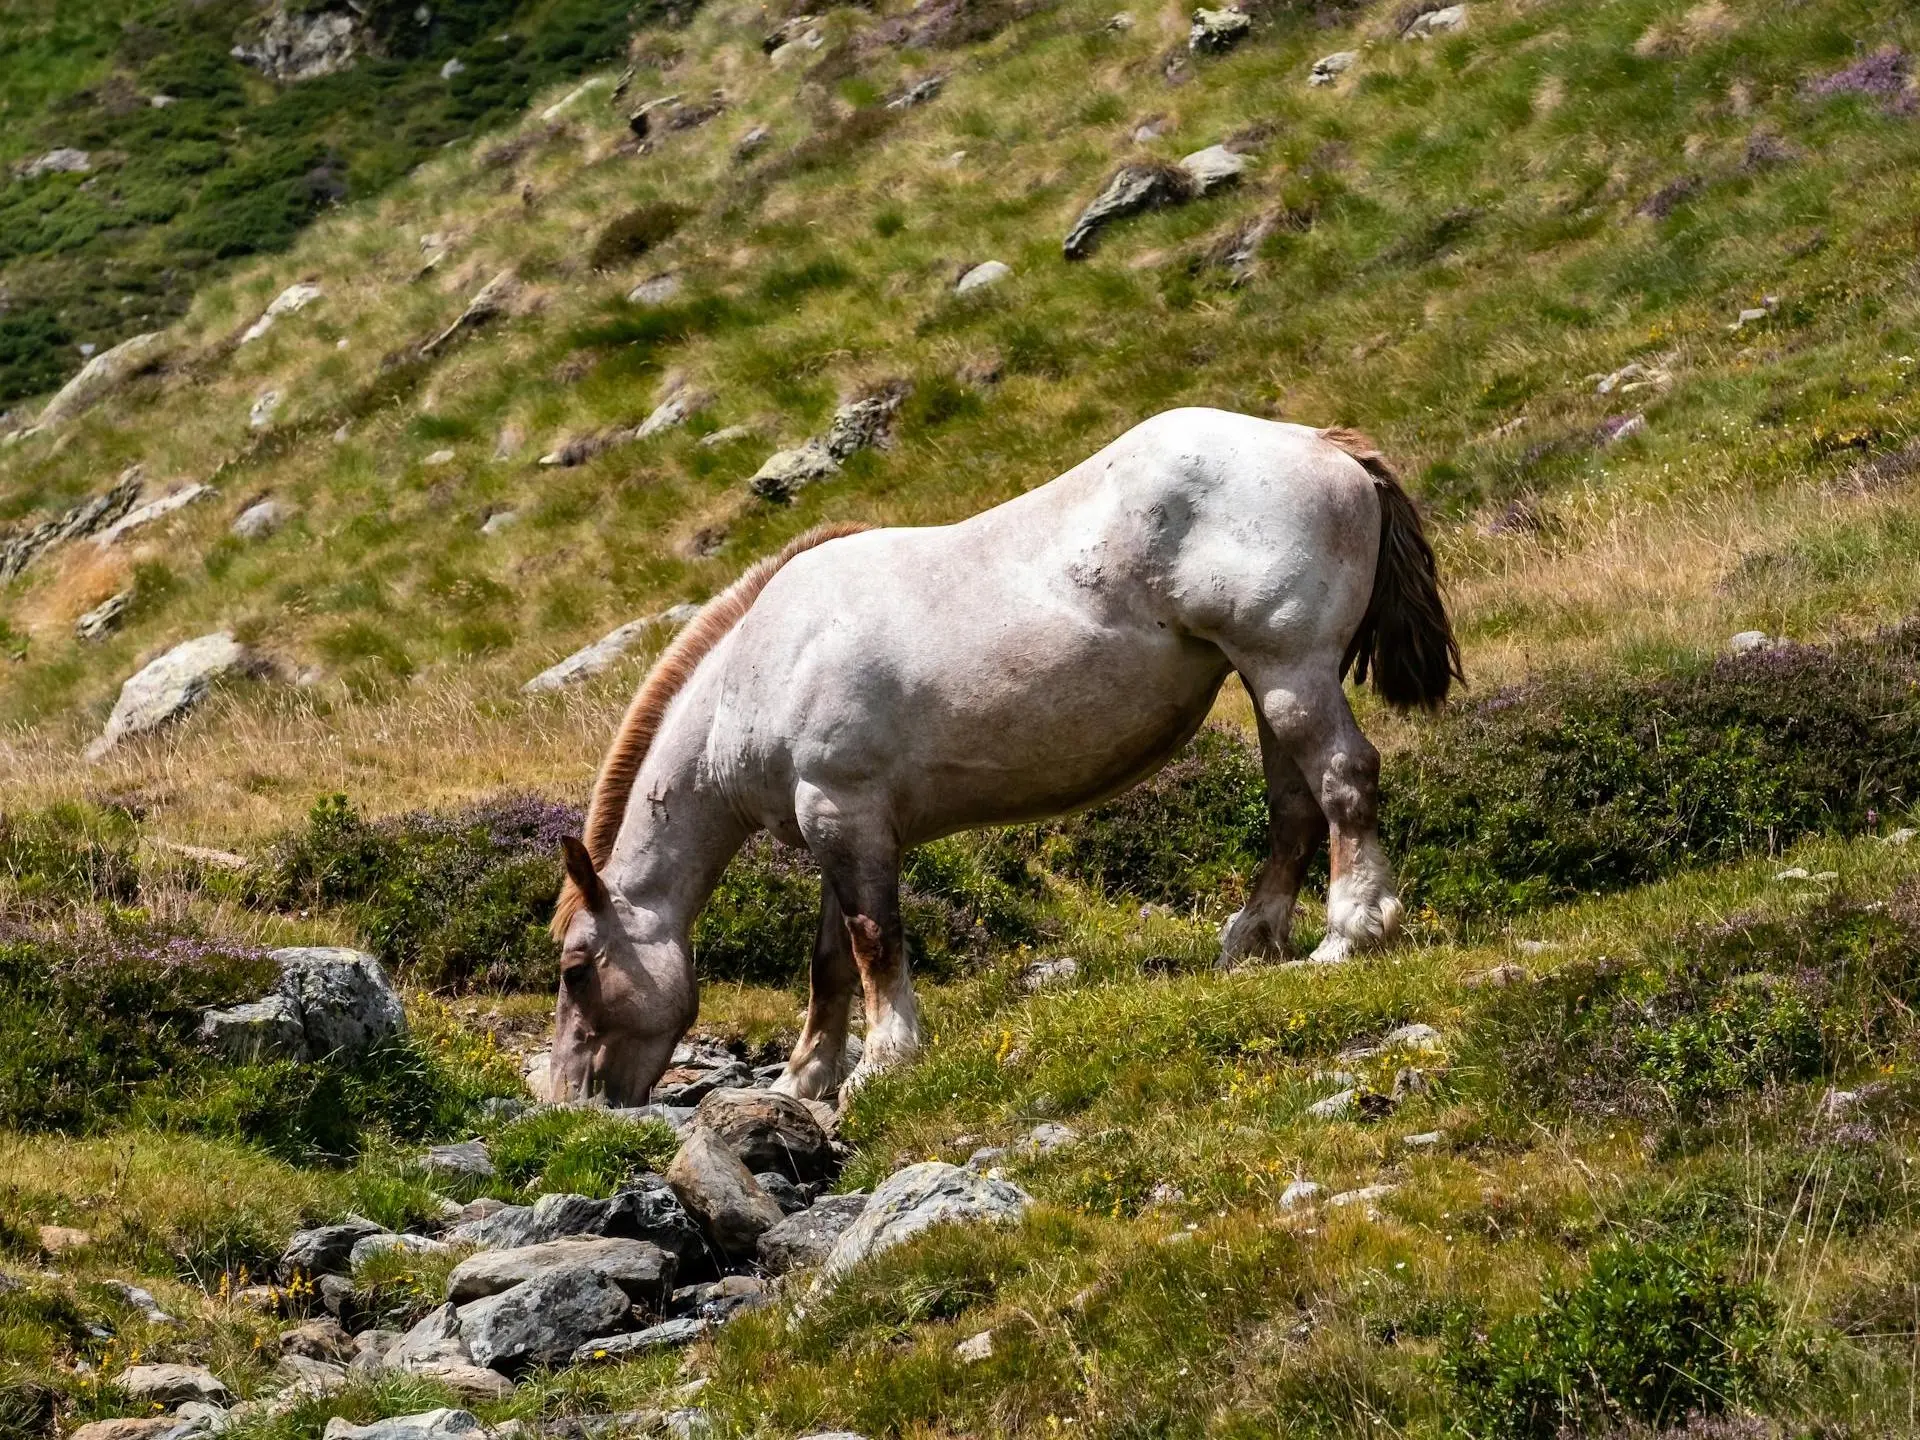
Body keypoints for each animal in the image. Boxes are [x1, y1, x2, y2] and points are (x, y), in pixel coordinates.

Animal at [549, 407, 1459, 1105]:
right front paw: (804, 1078)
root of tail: (1322, 444)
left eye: (577, 969)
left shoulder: (843, 811)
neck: (763, 664)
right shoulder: (841, 827)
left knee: (1343, 781)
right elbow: (831, 961)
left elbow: (873, 942)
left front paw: (883, 1062)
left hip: (1289, 672)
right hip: (1271, 685)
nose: (570, 1100)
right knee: (1294, 809)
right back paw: (1252, 943)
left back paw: (1350, 933)